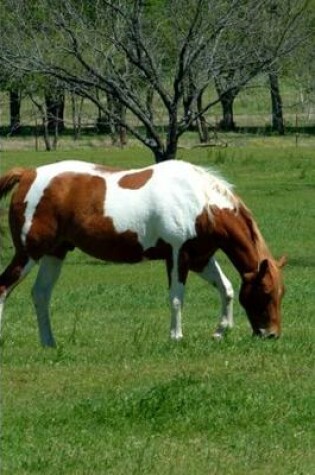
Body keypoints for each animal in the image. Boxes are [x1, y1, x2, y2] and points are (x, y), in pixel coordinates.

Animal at [0, 158, 286, 348]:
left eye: (280, 293)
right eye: (265, 292)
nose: (271, 334)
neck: (201, 203)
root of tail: (28, 174)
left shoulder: (201, 259)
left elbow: (225, 289)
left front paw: (220, 331)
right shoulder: (177, 256)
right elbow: (176, 298)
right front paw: (176, 337)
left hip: (54, 254)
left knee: (40, 294)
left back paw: (49, 343)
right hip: (29, 253)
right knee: (4, 287)